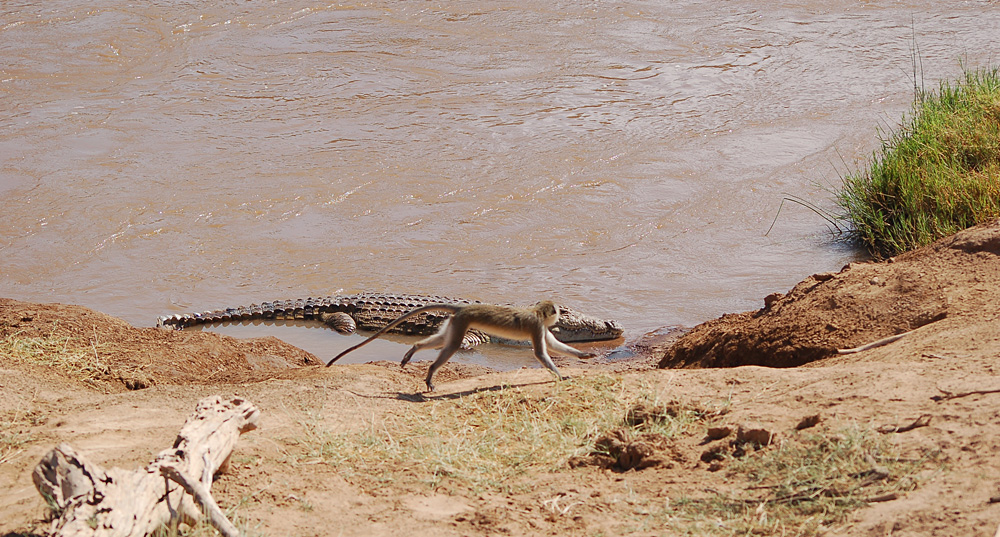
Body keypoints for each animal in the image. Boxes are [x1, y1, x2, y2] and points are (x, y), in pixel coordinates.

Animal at [326, 300, 592, 392]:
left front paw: (583, 355)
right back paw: (430, 373)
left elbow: (557, 346)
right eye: (563, 311)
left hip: (453, 324)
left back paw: (412, 352)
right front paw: (560, 375)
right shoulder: (537, 328)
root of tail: (461, 308)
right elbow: (541, 352)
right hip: (461, 325)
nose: (558, 315)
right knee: (451, 346)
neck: (536, 311)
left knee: (437, 341)